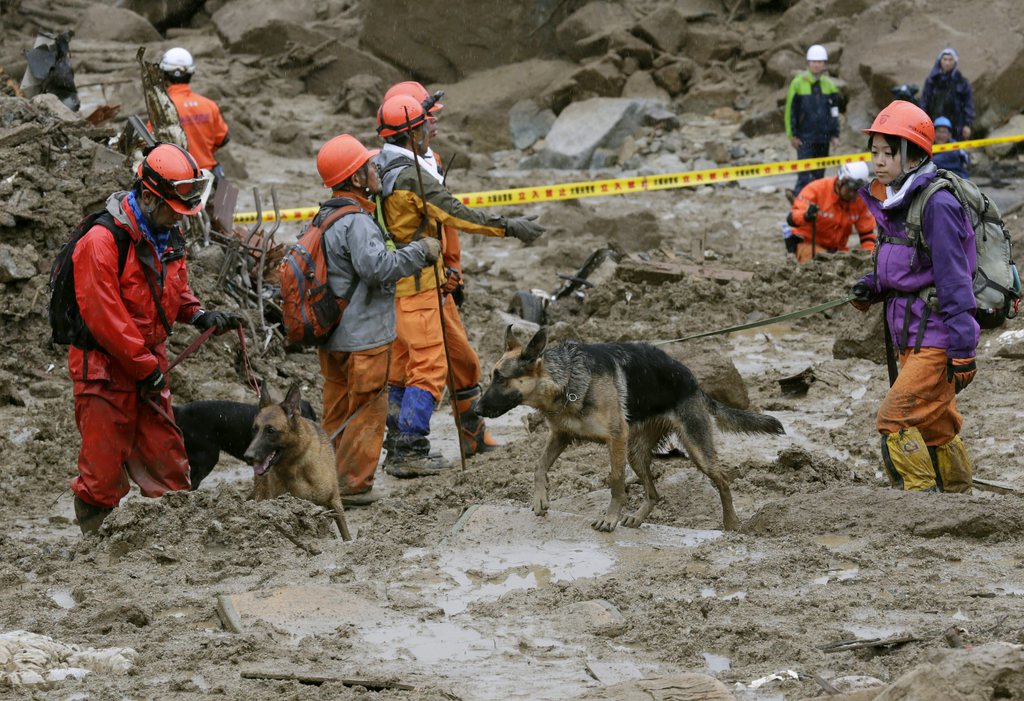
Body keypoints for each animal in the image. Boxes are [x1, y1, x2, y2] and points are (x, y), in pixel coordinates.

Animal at [243, 382, 352, 540]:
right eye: (254, 429)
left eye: (271, 430)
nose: (248, 456)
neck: (296, 464)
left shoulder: (335, 502)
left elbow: (345, 533)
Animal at [477, 327, 782, 532]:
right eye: (491, 376)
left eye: (501, 379)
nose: (477, 409)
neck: (565, 380)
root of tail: (693, 383)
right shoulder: (562, 435)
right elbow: (539, 465)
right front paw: (540, 498)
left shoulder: (616, 438)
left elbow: (615, 481)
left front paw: (609, 518)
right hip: (635, 453)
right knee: (655, 493)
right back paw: (637, 517)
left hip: (696, 449)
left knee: (723, 481)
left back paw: (731, 524)